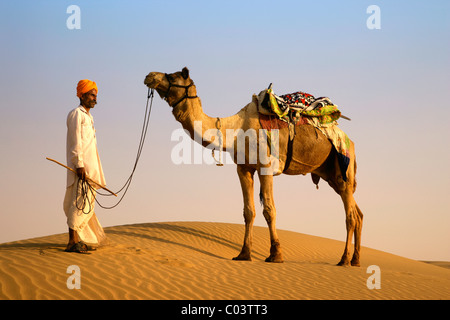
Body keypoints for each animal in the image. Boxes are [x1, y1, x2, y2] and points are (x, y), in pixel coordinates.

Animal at [146, 67, 364, 264]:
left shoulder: (265, 166)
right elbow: (248, 211)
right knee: (358, 213)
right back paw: (355, 259)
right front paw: (243, 254)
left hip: (342, 167)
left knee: (350, 216)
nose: (150, 76)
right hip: (331, 173)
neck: (235, 130)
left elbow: (269, 209)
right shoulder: (243, 168)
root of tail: (351, 141)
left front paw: (275, 255)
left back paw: (344, 259)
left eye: (172, 76)